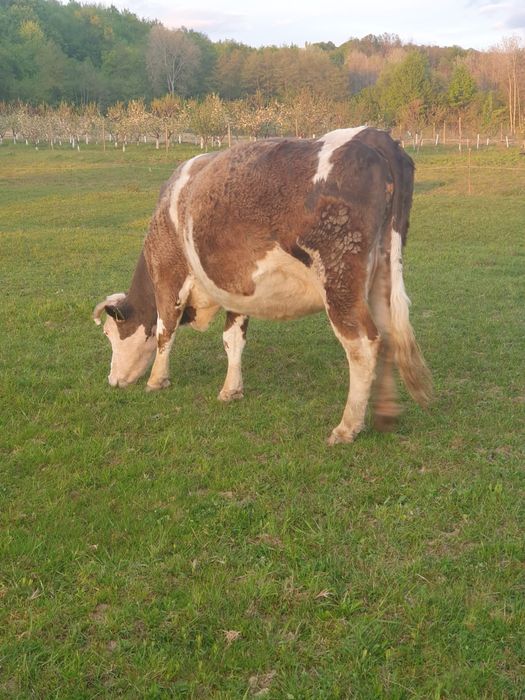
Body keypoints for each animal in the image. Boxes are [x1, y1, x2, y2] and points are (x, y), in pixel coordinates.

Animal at [93, 127, 432, 444]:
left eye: (110, 333)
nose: (112, 380)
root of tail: (372, 135)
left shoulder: (168, 275)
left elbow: (165, 332)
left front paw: (157, 381)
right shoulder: (236, 289)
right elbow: (232, 339)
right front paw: (231, 390)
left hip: (340, 280)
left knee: (364, 345)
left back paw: (347, 426)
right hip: (382, 275)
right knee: (388, 335)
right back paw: (386, 413)